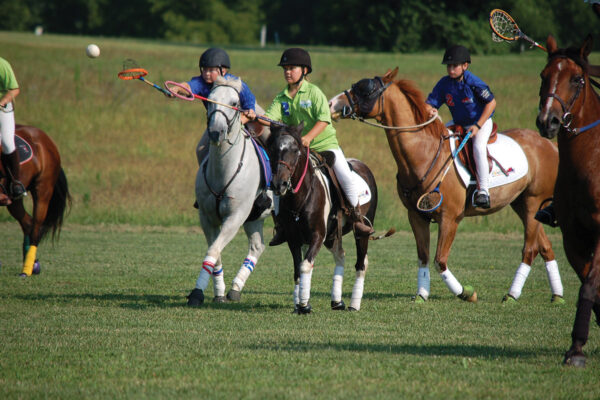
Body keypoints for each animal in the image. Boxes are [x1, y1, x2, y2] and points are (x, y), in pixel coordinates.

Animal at [0, 125, 71, 276]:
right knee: (27, 223)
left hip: (43, 191)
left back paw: (27, 269)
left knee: (35, 229)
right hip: (14, 201)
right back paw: (32, 264)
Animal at [186, 76, 274, 306]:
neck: (224, 170)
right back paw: (235, 288)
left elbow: (214, 250)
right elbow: (214, 253)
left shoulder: (234, 217)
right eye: (210, 99)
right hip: (255, 218)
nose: (216, 132)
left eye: (234, 103)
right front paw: (216, 292)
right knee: (257, 246)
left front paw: (197, 293)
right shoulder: (207, 217)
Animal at [266, 123, 378, 314]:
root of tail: (363, 165)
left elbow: (305, 265)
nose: (278, 184)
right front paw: (299, 304)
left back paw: (354, 304)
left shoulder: (317, 235)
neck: (300, 196)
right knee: (341, 256)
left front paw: (304, 305)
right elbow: (297, 270)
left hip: (360, 231)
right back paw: (337, 301)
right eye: (272, 149)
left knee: (361, 264)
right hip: (332, 236)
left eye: (295, 150)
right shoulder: (293, 238)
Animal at [328, 68, 564, 304]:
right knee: (545, 247)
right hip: (522, 204)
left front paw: (466, 292)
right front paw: (422, 294)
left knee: (530, 249)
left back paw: (512, 294)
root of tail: (549, 144)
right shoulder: (416, 216)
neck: (423, 155)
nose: (332, 104)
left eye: (366, 90)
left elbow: (440, 260)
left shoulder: (450, 218)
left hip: (533, 202)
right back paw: (557, 295)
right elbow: (423, 257)